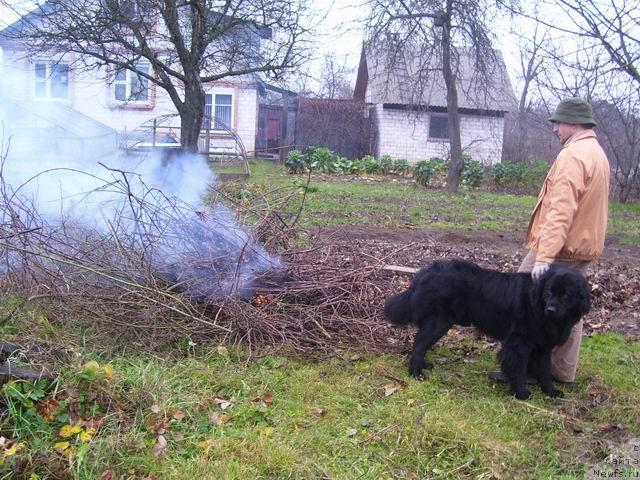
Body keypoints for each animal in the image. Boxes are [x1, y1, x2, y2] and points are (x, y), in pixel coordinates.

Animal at [384, 260, 592, 400]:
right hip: (439, 321)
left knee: (422, 342)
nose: (551, 310)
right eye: (549, 291)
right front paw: (520, 393)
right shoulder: (519, 342)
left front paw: (551, 391)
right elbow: (518, 368)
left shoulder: (543, 346)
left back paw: (423, 365)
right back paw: (416, 373)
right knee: (419, 343)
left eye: (566, 295)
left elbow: (545, 370)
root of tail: (426, 271)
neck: (537, 305)